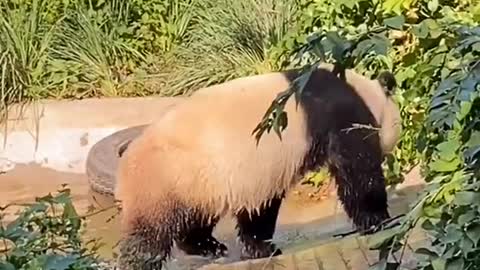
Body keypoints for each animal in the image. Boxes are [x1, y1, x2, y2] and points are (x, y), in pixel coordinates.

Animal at [115, 62, 402, 268]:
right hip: (162, 178)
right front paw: (380, 220)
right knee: (151, 233)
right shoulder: (339, 116)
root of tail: (127, 156)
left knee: (194, 218)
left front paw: (262, 248)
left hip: (196, 180)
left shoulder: (262, 169)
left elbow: (259, 207)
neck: (363, 91)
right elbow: (358, 169)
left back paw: (209, 246)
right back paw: (141, 260)